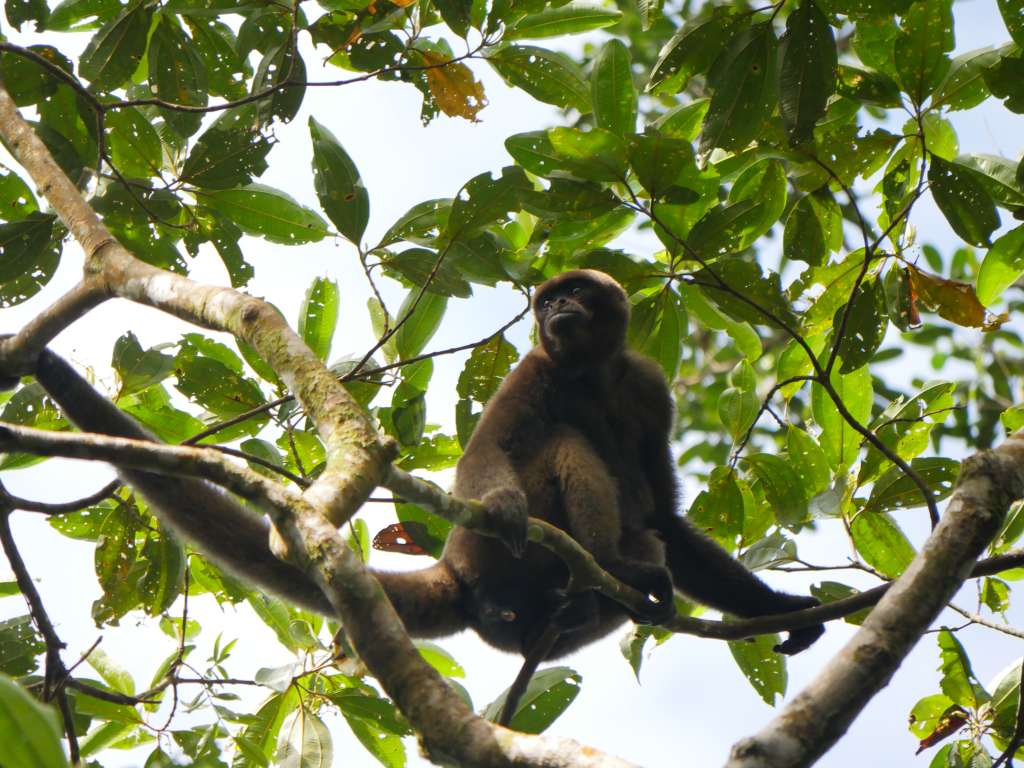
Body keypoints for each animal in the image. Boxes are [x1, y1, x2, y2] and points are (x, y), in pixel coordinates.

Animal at [4, 270, 822, 677]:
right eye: (547, 303)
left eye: (573, 297)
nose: (555, 305)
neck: (590, 371)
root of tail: (458, 575)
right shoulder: (534, 369)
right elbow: (487, 455)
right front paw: (505, 502)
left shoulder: (649, 384)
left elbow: (668, 518)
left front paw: (779, 606)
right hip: (493, 565)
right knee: (560, 446)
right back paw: (604, 571)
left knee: (647, 540)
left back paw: (605, 593)